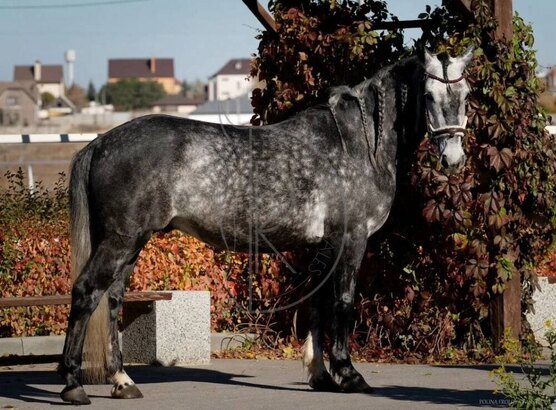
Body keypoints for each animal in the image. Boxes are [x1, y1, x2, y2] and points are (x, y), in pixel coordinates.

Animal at [58, 47, 473, 404]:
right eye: (430, 96)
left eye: (466, 94)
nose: (453, 158)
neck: (357, 145)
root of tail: (100, 143)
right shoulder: (351, 239)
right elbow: (342, 303)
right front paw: (349, 375)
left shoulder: (323, 246)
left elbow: (317, 304)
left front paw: (320, 375)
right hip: (122, 239)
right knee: (86, 292)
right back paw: (73, 385)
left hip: (130, 242)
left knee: (112, 299)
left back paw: (122, 381)